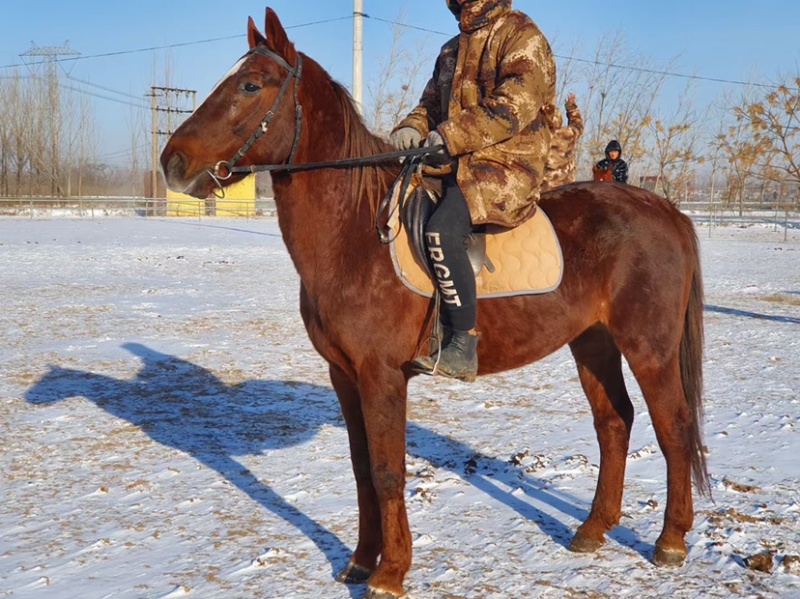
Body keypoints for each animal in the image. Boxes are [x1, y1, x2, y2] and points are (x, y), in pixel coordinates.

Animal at [161, 8, 709, 599]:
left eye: (250, 85)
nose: (172, 161)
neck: (356, 234)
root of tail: (667, 212)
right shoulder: (344, 375)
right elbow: (361, 468)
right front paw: (360, 561)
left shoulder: (381, 375)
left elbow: (387, 472)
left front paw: (389, 573)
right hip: (593, 343)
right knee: (615, 422)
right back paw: (592, 529)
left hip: (648, 349)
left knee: (674, 426)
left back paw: (670, 541)